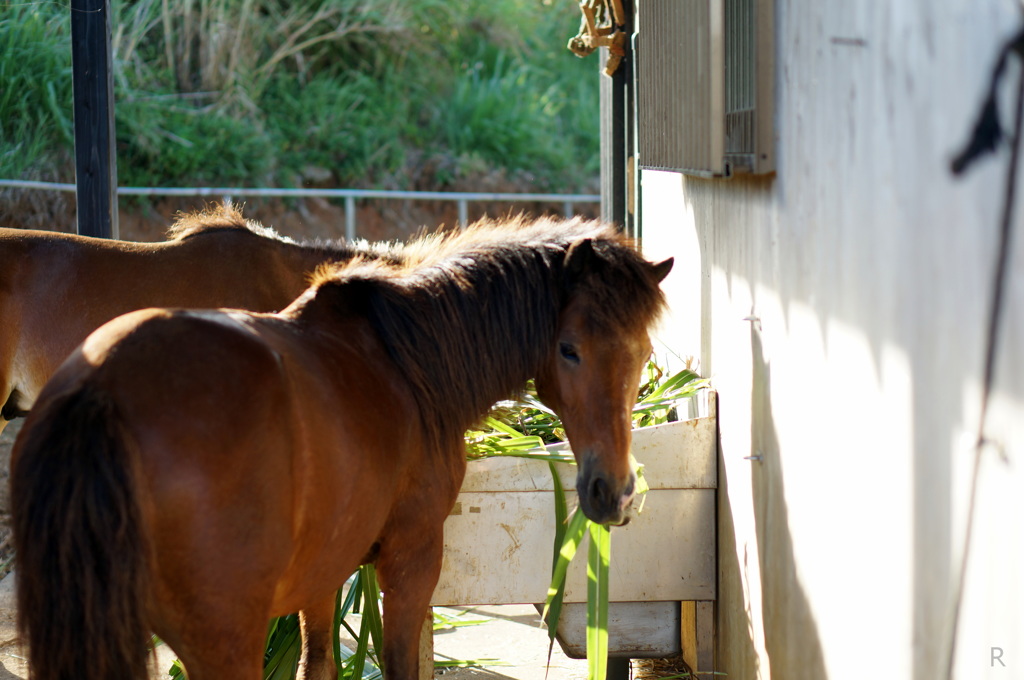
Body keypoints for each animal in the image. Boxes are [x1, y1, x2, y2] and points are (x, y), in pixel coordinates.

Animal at [14, 218, 671, 680]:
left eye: (641, 351)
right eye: (569, 349)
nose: (614, 493)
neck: (407, 360)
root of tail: (102, 389)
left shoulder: (322, 573)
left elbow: (318, 666)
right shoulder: (410, 561)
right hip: (223, 640)